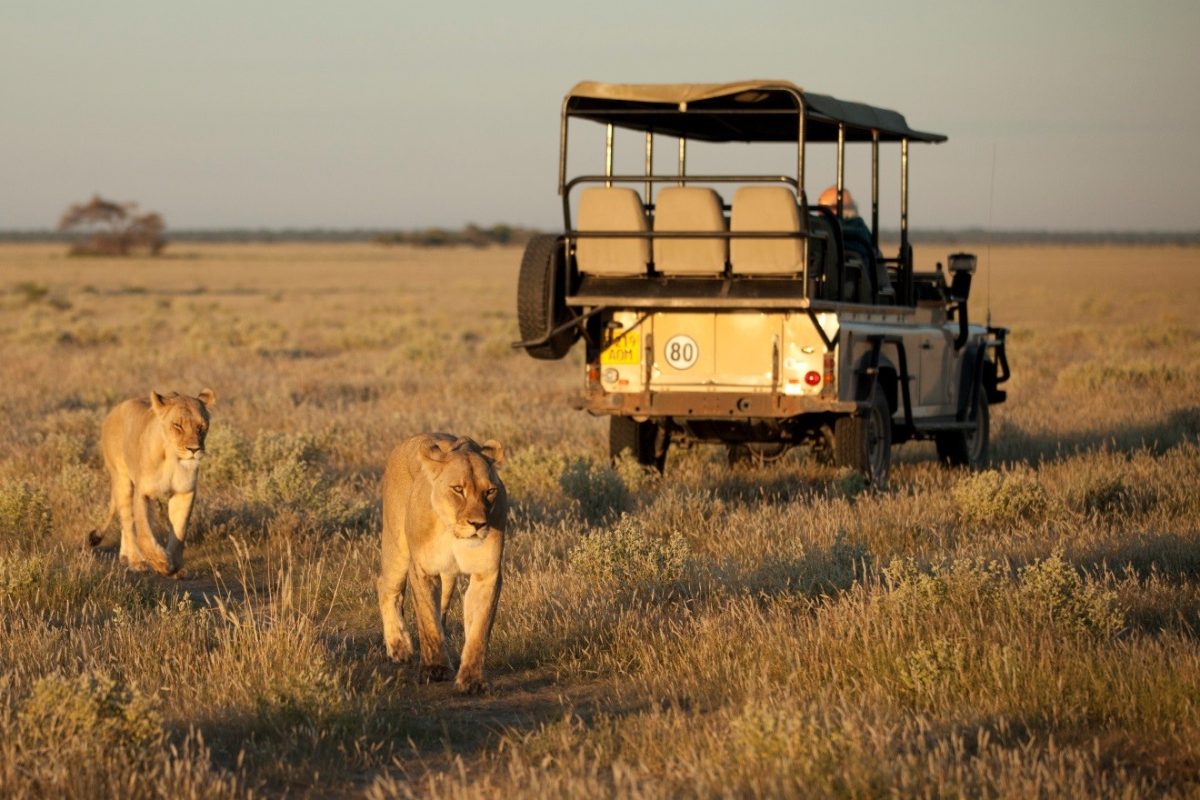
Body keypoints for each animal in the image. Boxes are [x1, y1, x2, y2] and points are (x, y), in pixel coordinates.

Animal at [88, 389, 215, 576]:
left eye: (201, 427)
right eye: (177, 425)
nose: (194, 449)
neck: (173, 459)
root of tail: (113, 411)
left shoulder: (184, 492)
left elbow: (180, 530)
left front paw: (174, 564)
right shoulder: (144, 492)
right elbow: (144, 533)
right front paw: (160, 561)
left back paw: (125, 557)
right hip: (122, 480)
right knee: (127, 522)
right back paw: (135, 561)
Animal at [377, 433, 507, 693]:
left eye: (490, 491)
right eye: (458, 489)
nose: (478, 524)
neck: (453, 532)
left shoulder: (487, 573)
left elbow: (479, 630)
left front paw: (472, 680)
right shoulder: (423, 570)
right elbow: (428, 620)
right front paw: (435, 669)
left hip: (446, 577)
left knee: (443, 608)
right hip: (397, 548)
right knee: (386, 587)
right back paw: (399, 647)